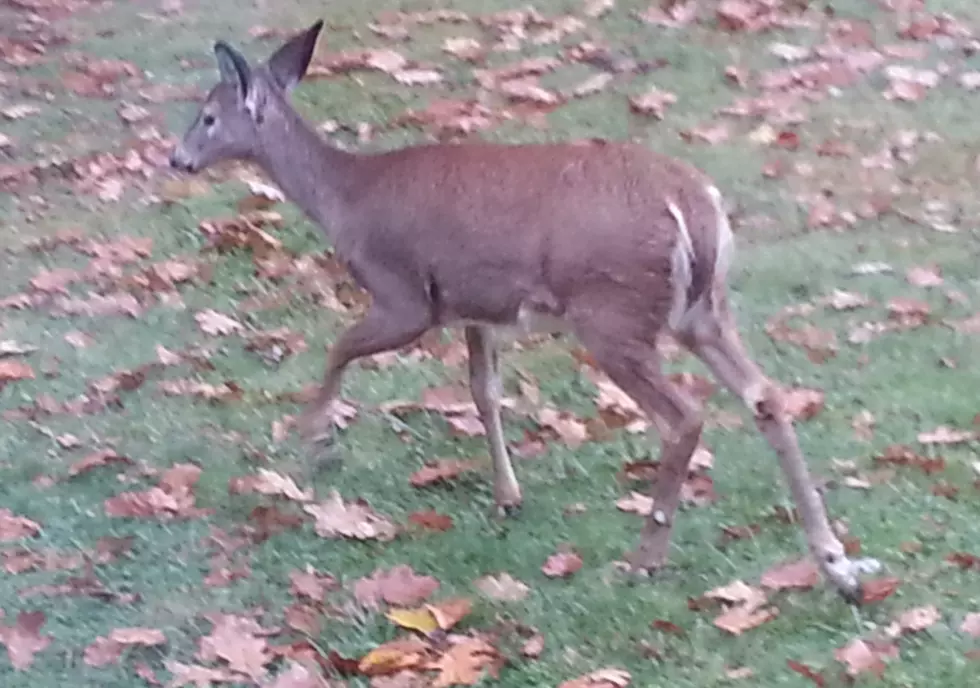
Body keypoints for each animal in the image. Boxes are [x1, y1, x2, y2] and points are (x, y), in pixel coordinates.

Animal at [170, 20, 880, 600]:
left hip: (612, 311)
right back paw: (838, 564)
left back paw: (643, 561)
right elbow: (483, 391)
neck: (345, 199)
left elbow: (339, 346)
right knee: (766, 396)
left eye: (207, 115)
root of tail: (693, 205)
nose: (176, 158)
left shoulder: (405, 294)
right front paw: (508, 497)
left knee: (684, 417)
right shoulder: (475, 308)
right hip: (703, 310)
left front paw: (314, 442)